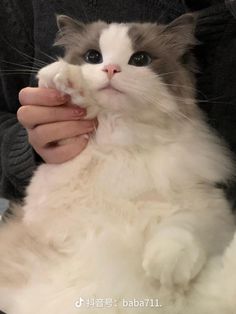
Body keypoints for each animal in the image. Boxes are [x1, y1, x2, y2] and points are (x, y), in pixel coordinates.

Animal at [0, 12, 236, 314]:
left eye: (140, 59)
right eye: (93, 57)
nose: (111, 69)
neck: (121, 142)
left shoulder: (209, 208)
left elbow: (185, 226)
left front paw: (166, 265)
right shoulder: (49, 203)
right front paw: (63, 77)